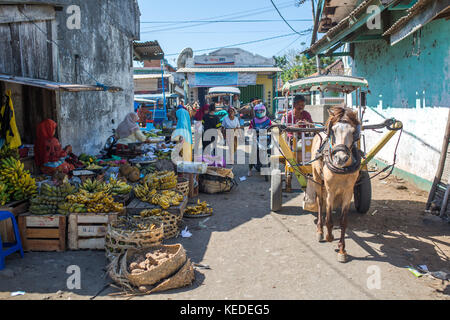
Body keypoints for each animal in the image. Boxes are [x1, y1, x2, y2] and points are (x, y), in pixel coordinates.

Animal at [310, 105, 362, 262]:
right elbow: (329, 219)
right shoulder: (330, 190)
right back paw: (320, 231)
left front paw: (342, 250)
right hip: (317, 178)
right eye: (333, 131)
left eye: (354, 132)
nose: (340, 158)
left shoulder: (348, 191)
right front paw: (329, 236)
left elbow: (343, 221)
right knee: (320, 203)